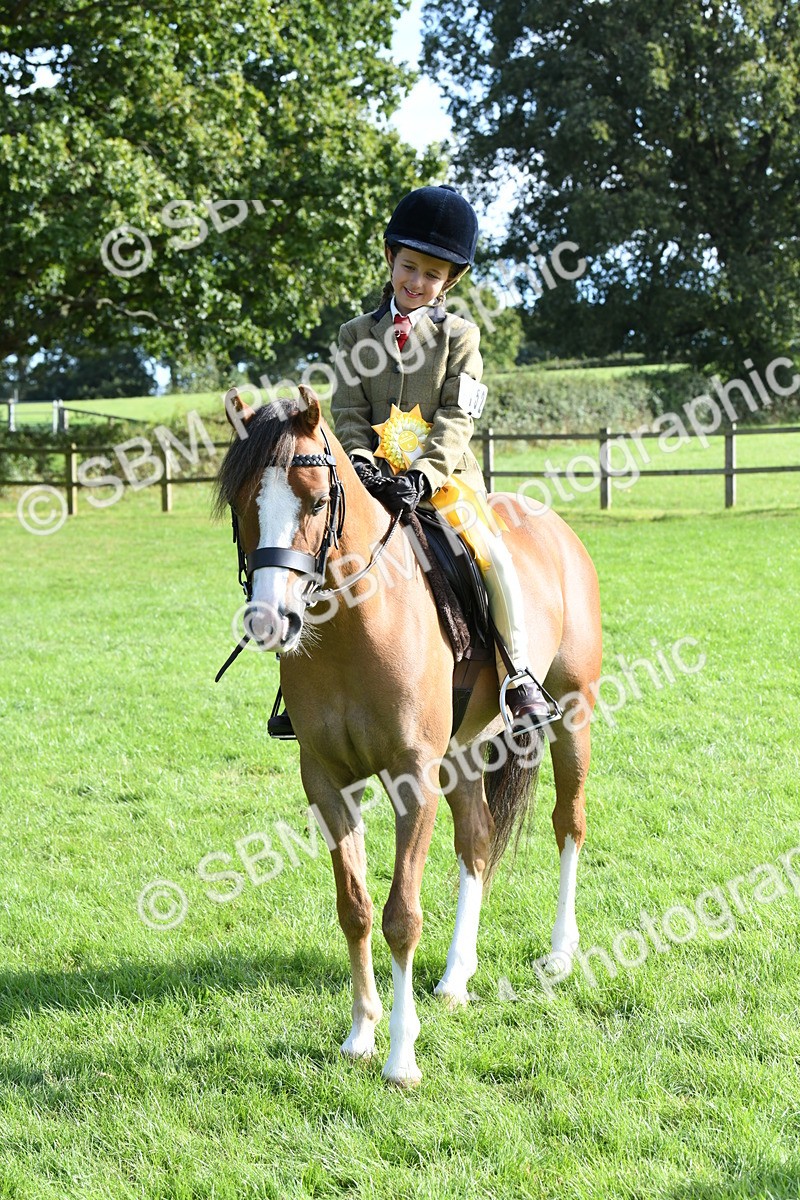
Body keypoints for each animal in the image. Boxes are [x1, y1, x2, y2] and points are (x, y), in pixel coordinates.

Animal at [214, 387, 602, 1086]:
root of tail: (552, 524)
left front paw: (400, 1056)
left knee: (569, 823)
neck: (353, 625)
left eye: (317, 500)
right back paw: (455, 978)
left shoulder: (412, 776)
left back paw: (560, 955)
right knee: (477, 841)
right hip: (463, 753)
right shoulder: (327, 781)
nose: (269, 621)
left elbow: (401, 915)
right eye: (241, 503)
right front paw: (360, 1035)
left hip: (571, 717)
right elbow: (356, 907)